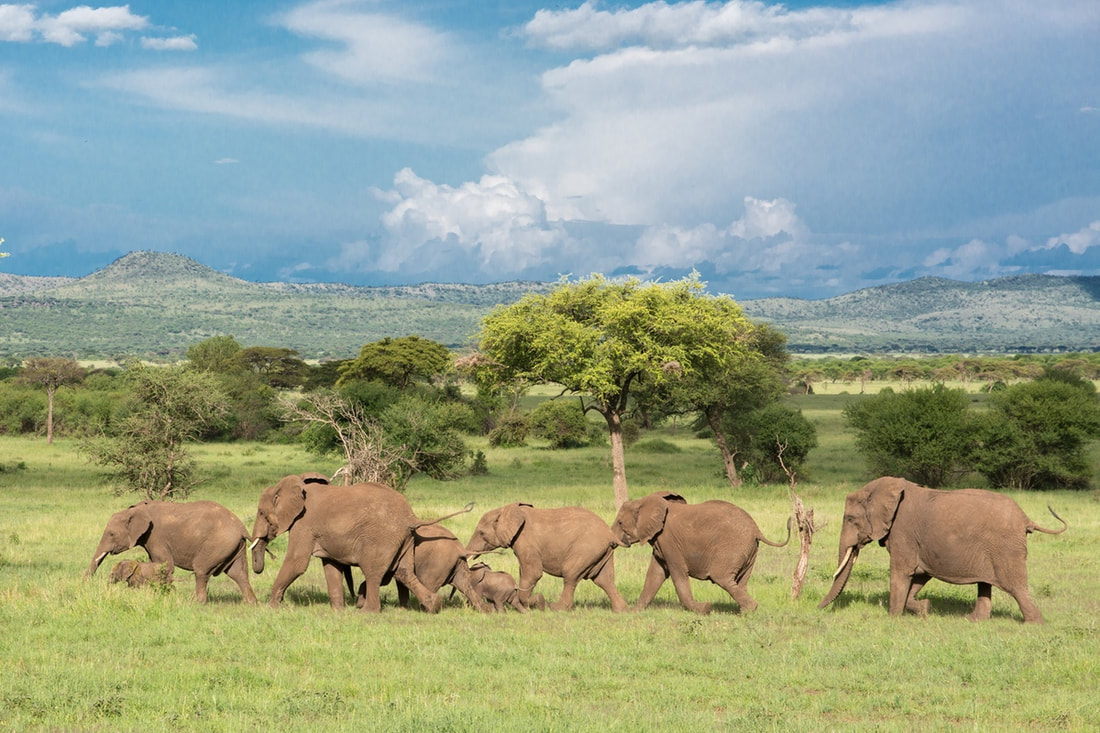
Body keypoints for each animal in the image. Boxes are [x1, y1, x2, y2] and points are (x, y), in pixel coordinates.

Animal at [86, 500, 256, 603]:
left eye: (111, 534)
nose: (85, 585)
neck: (138, 509)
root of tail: (241, 526)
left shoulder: (156, 537)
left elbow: (165, 565)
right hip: (233, 545)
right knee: (238, 573)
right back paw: (250, 602)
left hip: (218, 543)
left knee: (201, 569)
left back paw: (196, 602)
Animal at [250, 473, 471, 614]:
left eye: (261, 513)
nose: (258, 567)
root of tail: (411, 517)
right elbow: (332, 567)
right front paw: (337, 611)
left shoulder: (304, 524)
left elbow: (297, 562)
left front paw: (271, 607)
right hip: (405, 540)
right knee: (404, 572)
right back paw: (434, 606)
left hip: (380, 539)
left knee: (373, 572)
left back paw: (367, 612)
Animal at [465, 503, 628, 612]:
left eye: (481, 533)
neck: (505, 509)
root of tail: (610, 534)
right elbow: (524, 572)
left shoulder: (525, 541)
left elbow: (533, 573)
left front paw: (538, 602)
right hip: (601, 552)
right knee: (604, 579)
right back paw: (621, 610)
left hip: (586, 548)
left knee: (571, 575)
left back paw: (556, 608)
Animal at [611, 491, 790, 614]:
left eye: (620, 523)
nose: (612, 542)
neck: (645, 501)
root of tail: (756, 530)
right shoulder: (661, 542)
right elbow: (655, 574)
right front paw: (633, 611)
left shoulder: (669, 541)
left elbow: (677, 574)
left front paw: (704, 609)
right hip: (749, 551)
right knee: (741, 582)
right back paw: (745, 611)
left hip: (733, 548)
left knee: (722, 577)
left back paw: (749, 610)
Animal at [818, 476, 1067, 623]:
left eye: (850, 519)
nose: (817, 609)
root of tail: (1026, 519)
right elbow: (919, 574)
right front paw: (924, 608)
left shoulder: (902, 532)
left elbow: (902, 572)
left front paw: (893, 618)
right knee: (986, 583)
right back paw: (973, 620)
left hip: (1005, 548)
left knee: (1015, 586)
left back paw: (1034, 624)